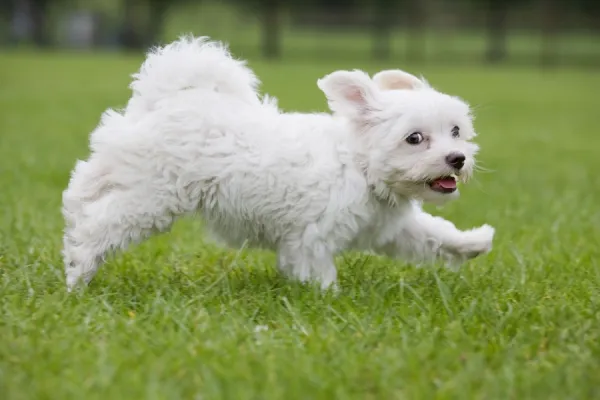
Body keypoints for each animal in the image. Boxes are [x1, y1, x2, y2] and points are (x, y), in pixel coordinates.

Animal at [61, 36, 494, 290]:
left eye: (456, 130)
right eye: (415, 139)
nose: (456, 159)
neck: (360, 167)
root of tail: (169, 96)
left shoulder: (391, 229)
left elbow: (434, 235)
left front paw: (473, 243)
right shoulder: (310, 239)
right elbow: (319, 273)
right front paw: (331, 300)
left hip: (128, 173)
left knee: (84, 188)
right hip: (153, 196)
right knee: (101, 223)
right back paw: (78, 271)